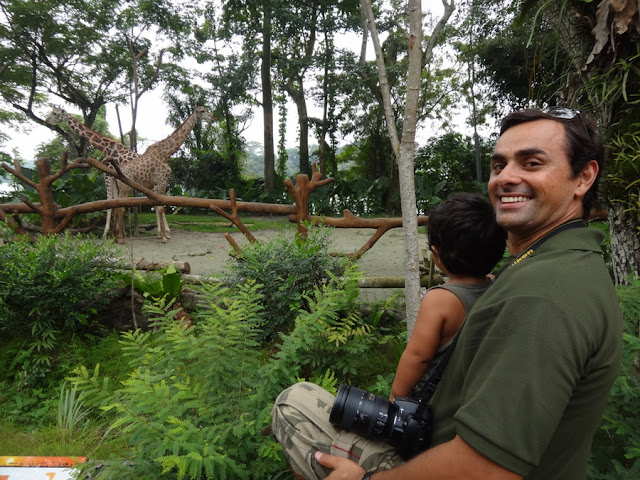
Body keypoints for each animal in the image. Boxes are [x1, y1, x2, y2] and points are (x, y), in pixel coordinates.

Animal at [45, 107, 140, 238]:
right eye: (51, 112)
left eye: (55, 113)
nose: (46, 121)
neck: (105, 148)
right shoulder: (115, 177)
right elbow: (116, 203)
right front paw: (116, 234)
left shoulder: (108, 175)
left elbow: (109, 203)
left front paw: (106, 234)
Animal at [111, 107, 216, 246]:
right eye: (203, 111)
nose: (214, 117)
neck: (166, 153)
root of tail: (114, 174)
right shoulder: (162, 180)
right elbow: (161, 207)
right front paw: (164, 237)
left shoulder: (155, 184)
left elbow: (159, 207)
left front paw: (161, 235)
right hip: (125, 188)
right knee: (120, 209)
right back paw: (121, 238)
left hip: (118, 188)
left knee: (115, 207)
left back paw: (115, 237)